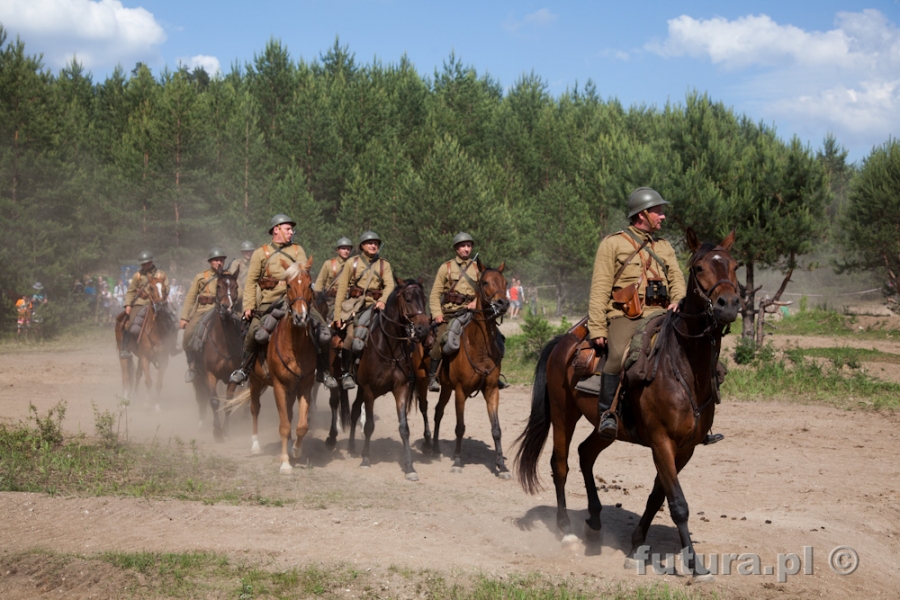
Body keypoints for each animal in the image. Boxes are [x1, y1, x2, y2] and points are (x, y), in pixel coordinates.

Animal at [115, 276, 177, 408]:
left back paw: (135, 396)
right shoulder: (145, 358)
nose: (160, 305)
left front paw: (157, 406)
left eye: (165, 289)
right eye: (151, 288)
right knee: (126, 376)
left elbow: (158, 384)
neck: (156, 332)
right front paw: (147, 404)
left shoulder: (163, 359)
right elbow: (148, 381)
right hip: (123, 353)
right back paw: (125, 401)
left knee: (138, 374)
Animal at [191, 270, 243, 442]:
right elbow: (214, 400)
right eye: (219, 286)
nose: (227, 307)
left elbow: (228, 402)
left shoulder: (233, 377)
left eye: (236, 286)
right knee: (201, 397)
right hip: (198, 376)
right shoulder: (210, 374)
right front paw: (217, 431)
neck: (223, 342)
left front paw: (226, 429)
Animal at [348, 278, 428, 480]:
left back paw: (352, 447)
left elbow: (404, 428)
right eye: (408, 299)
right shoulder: (369, 391)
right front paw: (366, 459)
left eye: (423, 299)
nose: (424, 329)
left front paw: (410, 467)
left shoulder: (401, 389)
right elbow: (369, 425)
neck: (388, 349)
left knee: (354, 410)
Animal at [430, 258, 510, 478]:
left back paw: (435, 448)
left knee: (438, 411)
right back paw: (430, 448)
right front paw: (457, 461)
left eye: (506, 282)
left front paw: (502, 466)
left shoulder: (491, 390)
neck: (480, 348)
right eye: (485, 282)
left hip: (446, 388)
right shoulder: (460, 391)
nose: (503, 303)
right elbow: (460, 427)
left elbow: (496, 429)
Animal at [512, 227, 740, 580]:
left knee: (585, 454)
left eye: (734, 265)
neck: (682, 365)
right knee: (560, 465)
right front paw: (693, 562)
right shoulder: (661, 442)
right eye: (700, 267)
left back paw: (593, 520)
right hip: (564, 415)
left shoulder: (684, 449)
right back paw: (566, 532)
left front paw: (635, 549)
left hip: (609, 428)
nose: (728, 304)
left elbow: (657, 498)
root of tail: (565, 341)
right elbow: (678, 504)